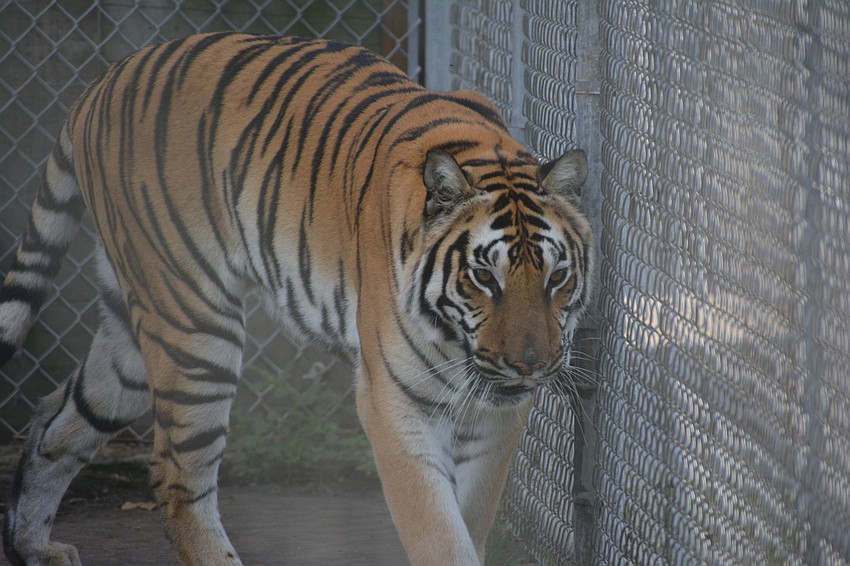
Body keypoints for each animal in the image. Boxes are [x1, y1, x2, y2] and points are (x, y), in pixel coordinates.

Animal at [0, 33, 594, 566]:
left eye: (557, 277)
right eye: (484, 278)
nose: (530, 364)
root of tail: (99, 84)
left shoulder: (499, 415)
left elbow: (471, 514)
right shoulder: (393, 402)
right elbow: (437, 531)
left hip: (133, 334)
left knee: (57, 419)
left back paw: (34, 547)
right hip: (194, 325)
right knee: (174, 474)